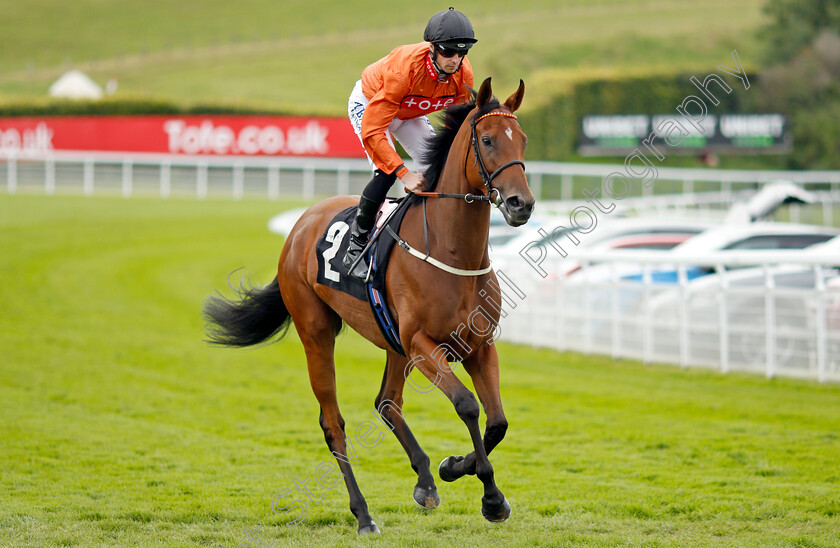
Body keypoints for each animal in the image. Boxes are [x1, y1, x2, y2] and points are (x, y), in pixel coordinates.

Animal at [203, 78, 532, 536]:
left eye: (522, 140)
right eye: (487, 140)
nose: (522, 204)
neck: (452, 252)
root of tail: (301, 225)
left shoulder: (478, 344)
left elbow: (498, 422)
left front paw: (453, 469)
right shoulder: (423, 344)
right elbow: (467, 404)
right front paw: (490, 495)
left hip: (394, 345)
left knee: (387, 402)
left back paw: (425, 480)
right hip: (317, 331)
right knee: (333, 423)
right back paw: (363, 514)